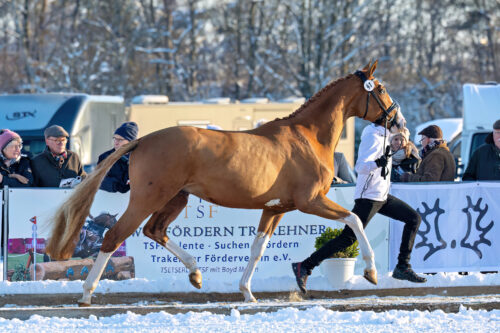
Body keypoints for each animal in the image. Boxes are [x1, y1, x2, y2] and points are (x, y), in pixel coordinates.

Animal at [46, 61, 398, 304]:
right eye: (380, 88)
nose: (396, 119)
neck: (307, 137)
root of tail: (143, 140)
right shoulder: (310, 201)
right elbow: (354, 219)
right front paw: (371, 272)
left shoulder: (275, 209)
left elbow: (257, 248)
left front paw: (247, 292)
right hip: (149, 198)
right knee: (114, 236)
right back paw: (86, 293)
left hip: (177, 198)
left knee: (154, 231)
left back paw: (196, 274)